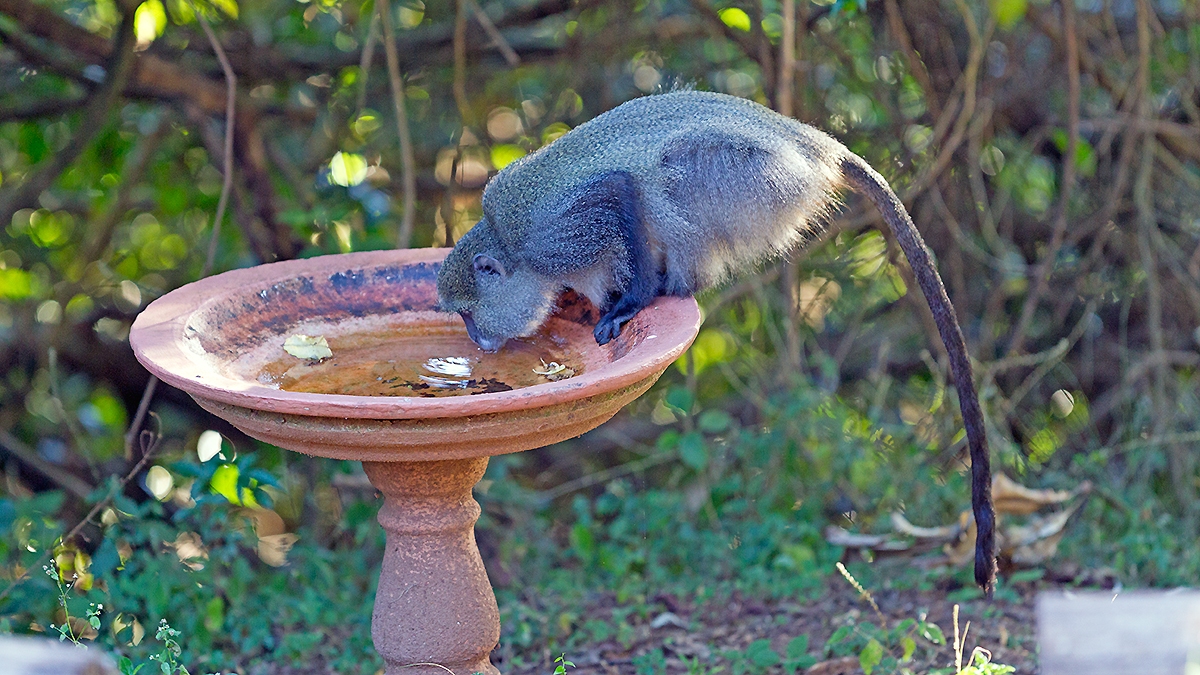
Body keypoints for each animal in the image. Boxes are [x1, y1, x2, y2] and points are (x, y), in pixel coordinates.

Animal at [436, 90, 996, 595]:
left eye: (468, 311)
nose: (476, 337)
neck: (510, 246)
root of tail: (810, 142)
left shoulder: (556, 234)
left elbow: (621, 190)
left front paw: (632, 301)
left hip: (755, 178)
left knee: (668, 176)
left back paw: (673, 285)